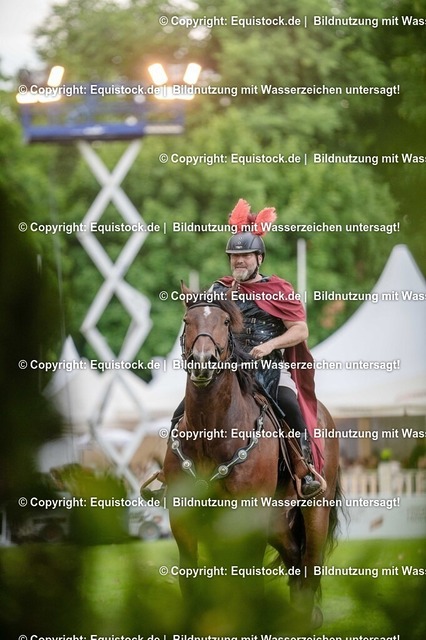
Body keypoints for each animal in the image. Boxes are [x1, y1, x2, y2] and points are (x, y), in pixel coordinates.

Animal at [163, 285, 341, 631]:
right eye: (187, 320)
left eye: (224, 322)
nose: (202, 362)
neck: (212, 432)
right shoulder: (185, 517)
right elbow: (191, 577)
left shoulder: (248, 517)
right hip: (277, 521)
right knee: (294, 558)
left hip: (315, 510)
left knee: (310, 562)